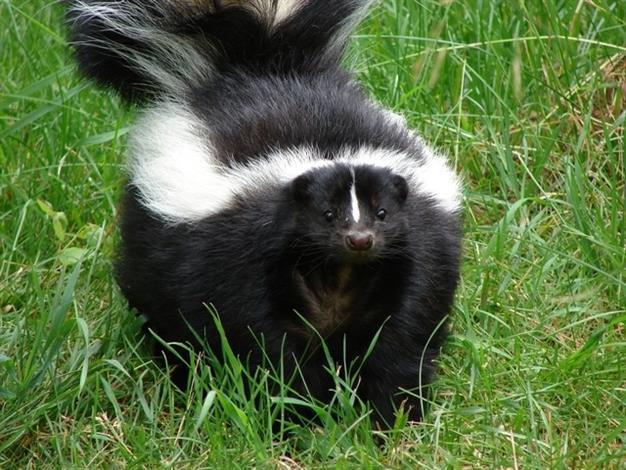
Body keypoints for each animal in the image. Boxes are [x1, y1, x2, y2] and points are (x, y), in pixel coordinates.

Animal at [68, 0, 460, 426]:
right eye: (326, 214)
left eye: (383, 213)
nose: (359, 239)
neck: (338, 274)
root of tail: (261, 63)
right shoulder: (240, 256)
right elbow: (262, 341)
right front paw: (295, 413)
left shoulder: (416, 253)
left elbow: (401, 339)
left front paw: (391, 416)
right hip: (152, 243)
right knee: (161, 313)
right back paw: (178, 373)